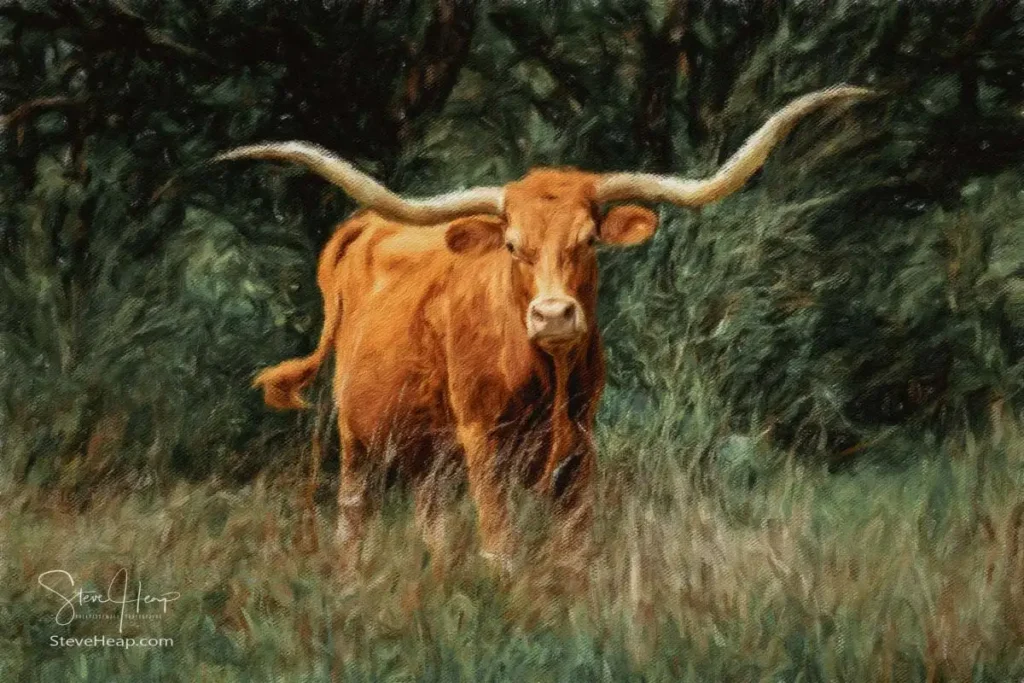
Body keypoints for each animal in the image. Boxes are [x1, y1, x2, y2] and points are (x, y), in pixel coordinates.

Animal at [217, 86, 874, 563]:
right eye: (513, 245)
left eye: (588, 240)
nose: (554, 314)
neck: (547, 375)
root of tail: (368, 224)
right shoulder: (482, 442)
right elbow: (500, 543)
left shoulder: (579, 446)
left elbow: (574, 545)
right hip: (357, 435)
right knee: (354, 515)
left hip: (430, 451)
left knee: (431, 518)